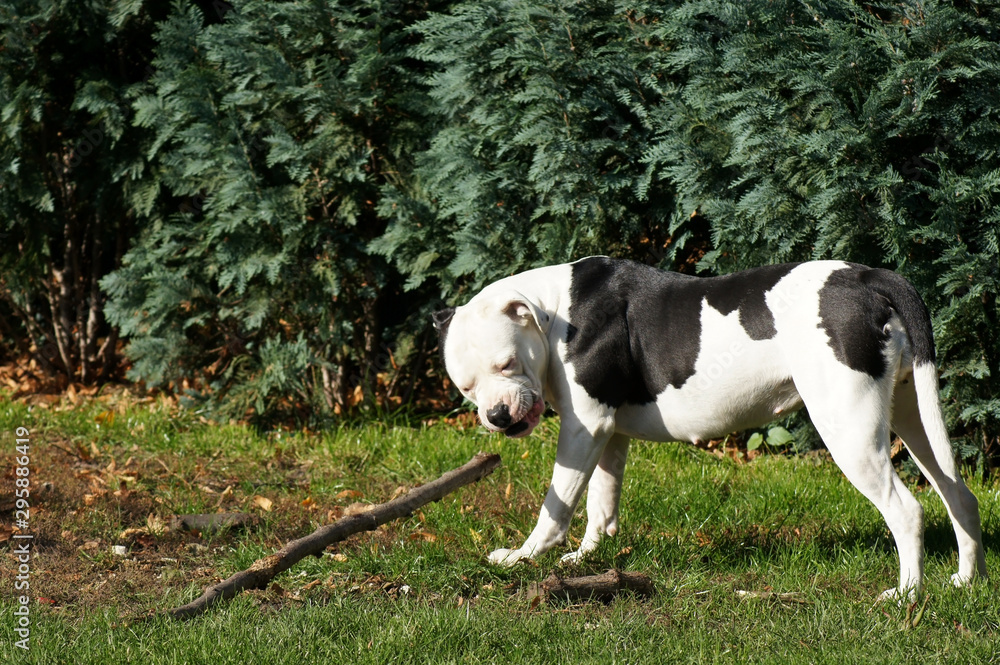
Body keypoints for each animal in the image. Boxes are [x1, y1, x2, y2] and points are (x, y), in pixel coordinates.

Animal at [434, 256, 988, 600]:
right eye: (465, 387)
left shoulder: (584, 427)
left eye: (507, 364)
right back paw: (967, 580)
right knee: (959, 495)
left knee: (907, 509)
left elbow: (557, 506)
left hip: (849, 429)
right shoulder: (608, 433)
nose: (497, 416)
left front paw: (522, 557)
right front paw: (587, 558)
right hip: (912, 415)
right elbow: (600, 505)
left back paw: (906, 595)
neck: (552, 313)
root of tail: (870, 276)